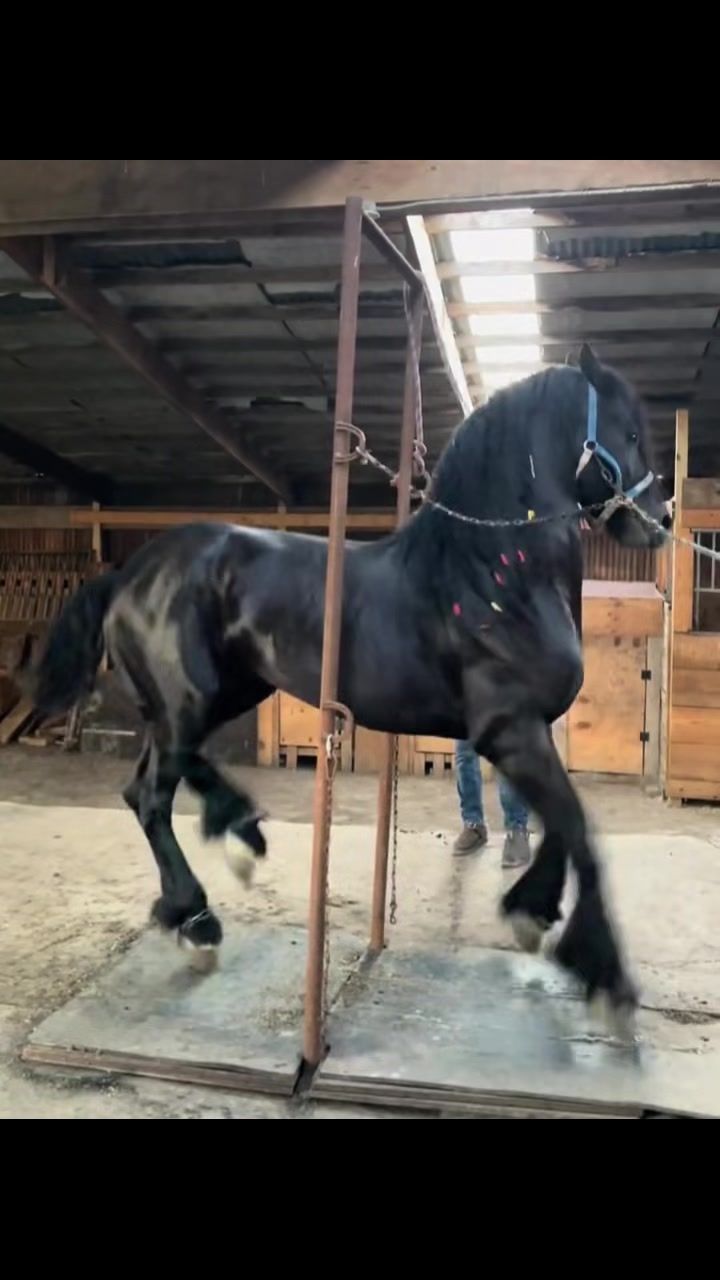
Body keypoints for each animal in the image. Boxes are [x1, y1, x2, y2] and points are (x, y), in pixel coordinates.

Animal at [25, 344, 671, 1029]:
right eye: (630, 433)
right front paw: (608, 978)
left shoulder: (523, 733)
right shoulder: (510, 732)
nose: (661, 519)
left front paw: (533, 911)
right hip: (191, 698)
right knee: (155, 790)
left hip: (228, 692)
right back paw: (205, 907)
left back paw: (227, 855)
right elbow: (578, 827)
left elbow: (562, 822)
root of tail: (130, 573)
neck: (492, 575)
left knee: (153, 781)